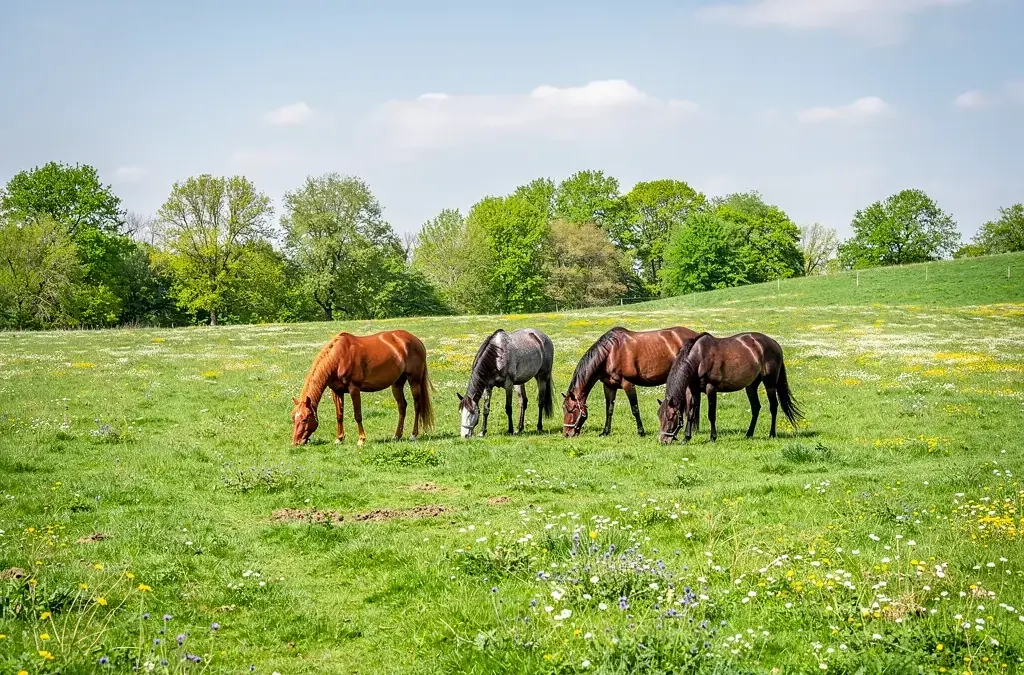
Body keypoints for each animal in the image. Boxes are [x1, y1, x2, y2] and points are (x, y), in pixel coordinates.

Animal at [291, 329, 434, 446]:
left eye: (305, 419)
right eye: (293, 418)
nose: (296, 442)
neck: (339, 357)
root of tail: (416, 340)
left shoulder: (354, 389)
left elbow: (358, 415)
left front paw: (361, 439)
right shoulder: (336, 391)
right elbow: (339, 415)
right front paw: (339, 439)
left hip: (414, 381)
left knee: (417, 405)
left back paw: (413, 435)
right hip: (397, 383)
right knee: (402, 406)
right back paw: (397, 435)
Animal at [562, 325, 698, 437]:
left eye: (571, 410)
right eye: (564, 409)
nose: (567, 434)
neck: (610, 353)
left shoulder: (628, 384)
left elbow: (635, 409)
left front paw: (641, 432)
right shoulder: (609, 386)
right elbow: (609, 409)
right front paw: (605, 431)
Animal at [656, 331, 802, 444]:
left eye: (671, 416)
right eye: (659, 416)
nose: (663, 441)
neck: (699, 358)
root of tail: (775, 343)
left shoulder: (711, 389)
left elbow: (711, 414)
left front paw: (712, 437)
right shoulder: (694, 390)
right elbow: (691, 414)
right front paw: (686, 438)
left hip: (770, 384)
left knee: (773, 406)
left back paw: (772, 434)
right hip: (751, 386)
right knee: (756, 408)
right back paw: (749, 434)